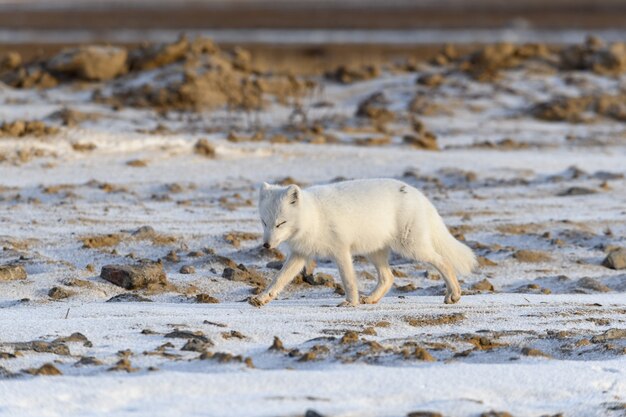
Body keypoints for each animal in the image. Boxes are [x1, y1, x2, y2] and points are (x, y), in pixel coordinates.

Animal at [246, 178, 476, 306]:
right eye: (264, 222)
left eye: (281, 223)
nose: (266, 245)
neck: (314, 217)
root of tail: (419, 194)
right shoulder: (300, 254)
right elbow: (278, 279)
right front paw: (262, 298)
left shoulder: (341, 250)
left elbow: (348, 279)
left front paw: (351, 302)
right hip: (375, 251)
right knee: (388, 277)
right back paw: (371, 299)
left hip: (411, 247)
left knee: (443, 261)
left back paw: (454, 294)